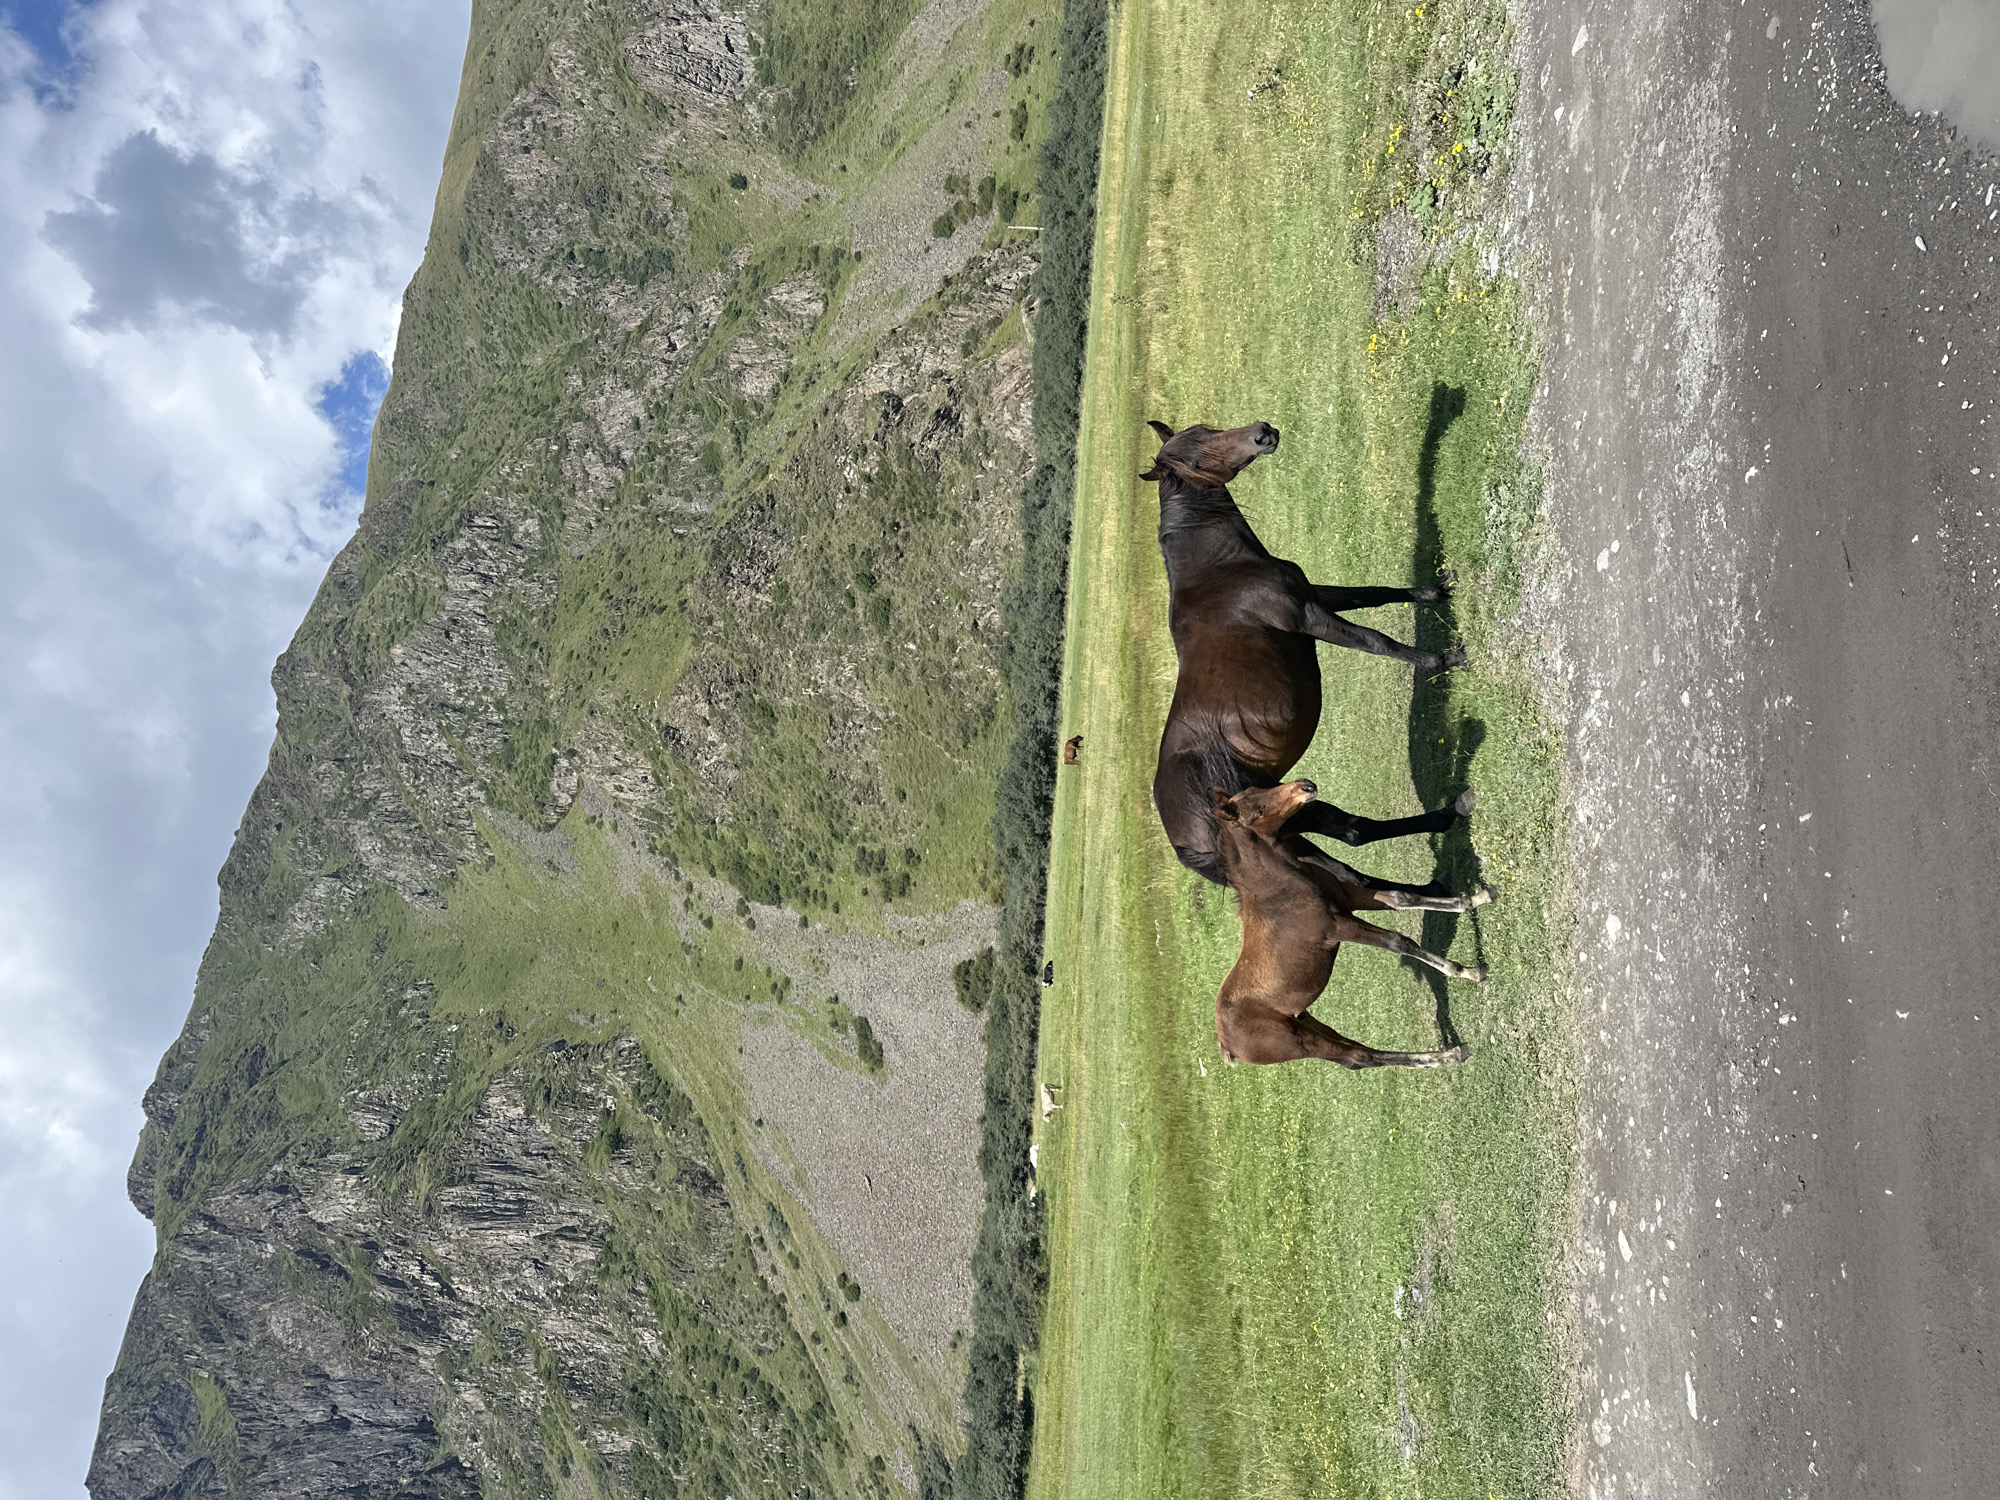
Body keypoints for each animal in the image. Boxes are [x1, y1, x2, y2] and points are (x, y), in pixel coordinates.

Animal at [1142, 420, 1466, 885]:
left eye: (1206, 428)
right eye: (1197, 461)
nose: (1262, 432)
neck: (1221, 571)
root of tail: (1185, 843)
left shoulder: (1317, 595)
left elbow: (1377, 593)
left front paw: (1437, 590)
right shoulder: (1312, 617)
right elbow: (1377, 641)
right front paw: (1447, 661)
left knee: (1352, 846)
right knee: (1353, 842)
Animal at [1210, 780, 1488, 1068]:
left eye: (1257, 788)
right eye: (1259, 811)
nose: (1305, 786)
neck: (1279, 891)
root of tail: (1225, 1044)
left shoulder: (1349, 897)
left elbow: (1400, 897)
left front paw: (1477, 898)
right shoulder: (1339, 926)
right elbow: (1398, 941)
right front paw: (1467, 971)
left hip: (1305, 1020)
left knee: (1354, 1049)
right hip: (1299, 1043)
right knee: (1359, 1058)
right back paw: (1448, 1056)